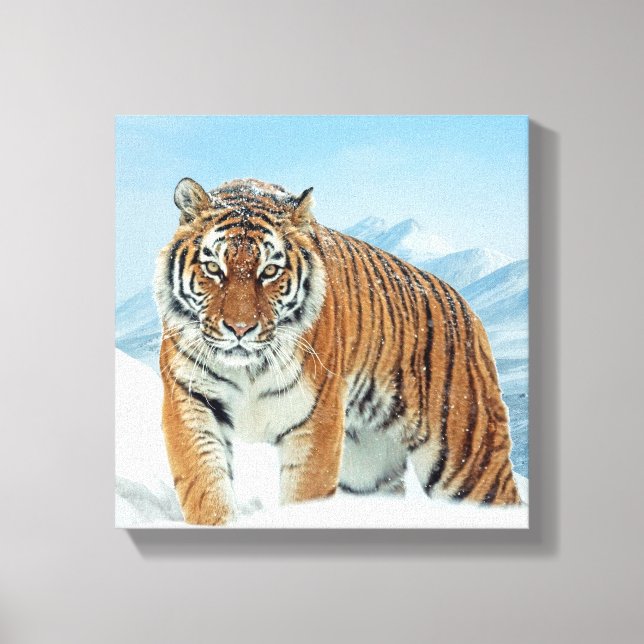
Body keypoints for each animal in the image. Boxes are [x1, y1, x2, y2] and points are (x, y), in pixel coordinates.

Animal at [155, 176, 521, 525]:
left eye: (269, 271)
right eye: (213, 269)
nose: (240, 329)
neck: (249, 368)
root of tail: (467, 307)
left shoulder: (315, 419)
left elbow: (305, 496)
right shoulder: (190, 400)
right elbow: (205, 486)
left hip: (469, 461)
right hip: (368, 470)